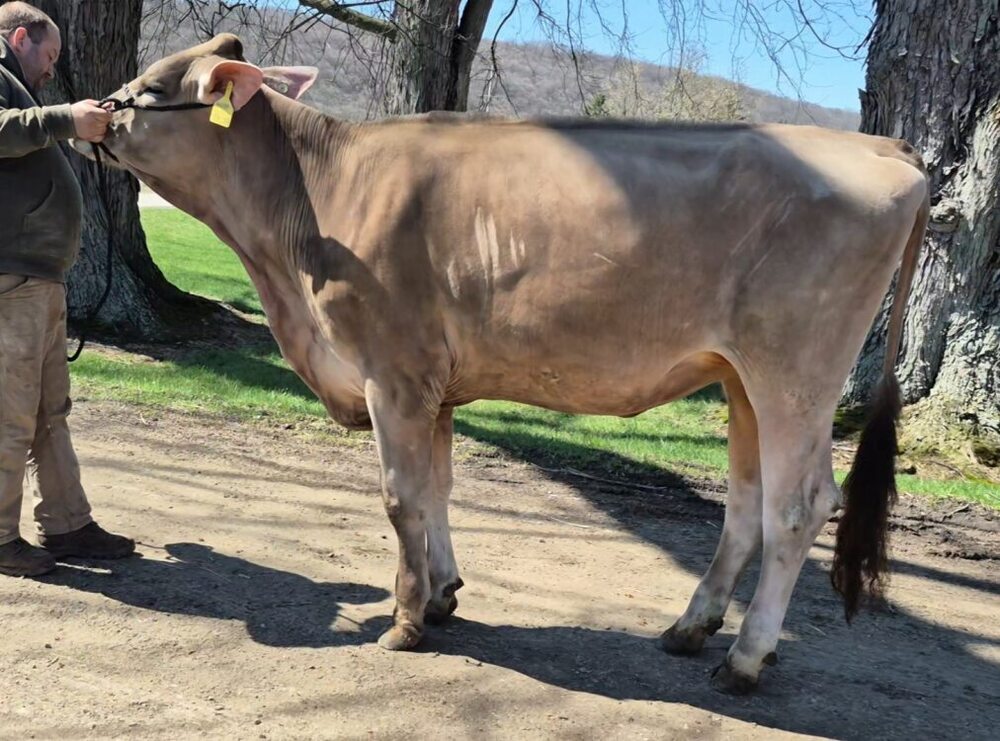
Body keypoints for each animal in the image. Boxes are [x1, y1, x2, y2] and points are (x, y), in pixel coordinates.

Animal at [74, 34, 930, 694]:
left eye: (152, 89)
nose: (93, 112)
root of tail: (877, 146)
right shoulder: (435, 383)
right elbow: (439, 488)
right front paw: (444, 594)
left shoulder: (393, 370)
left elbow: (401, 495)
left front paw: (406, 619)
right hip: (739, 376)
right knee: (746, 505)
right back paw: (691, 627)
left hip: (795, 373)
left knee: (798, 504)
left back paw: (747, 659)